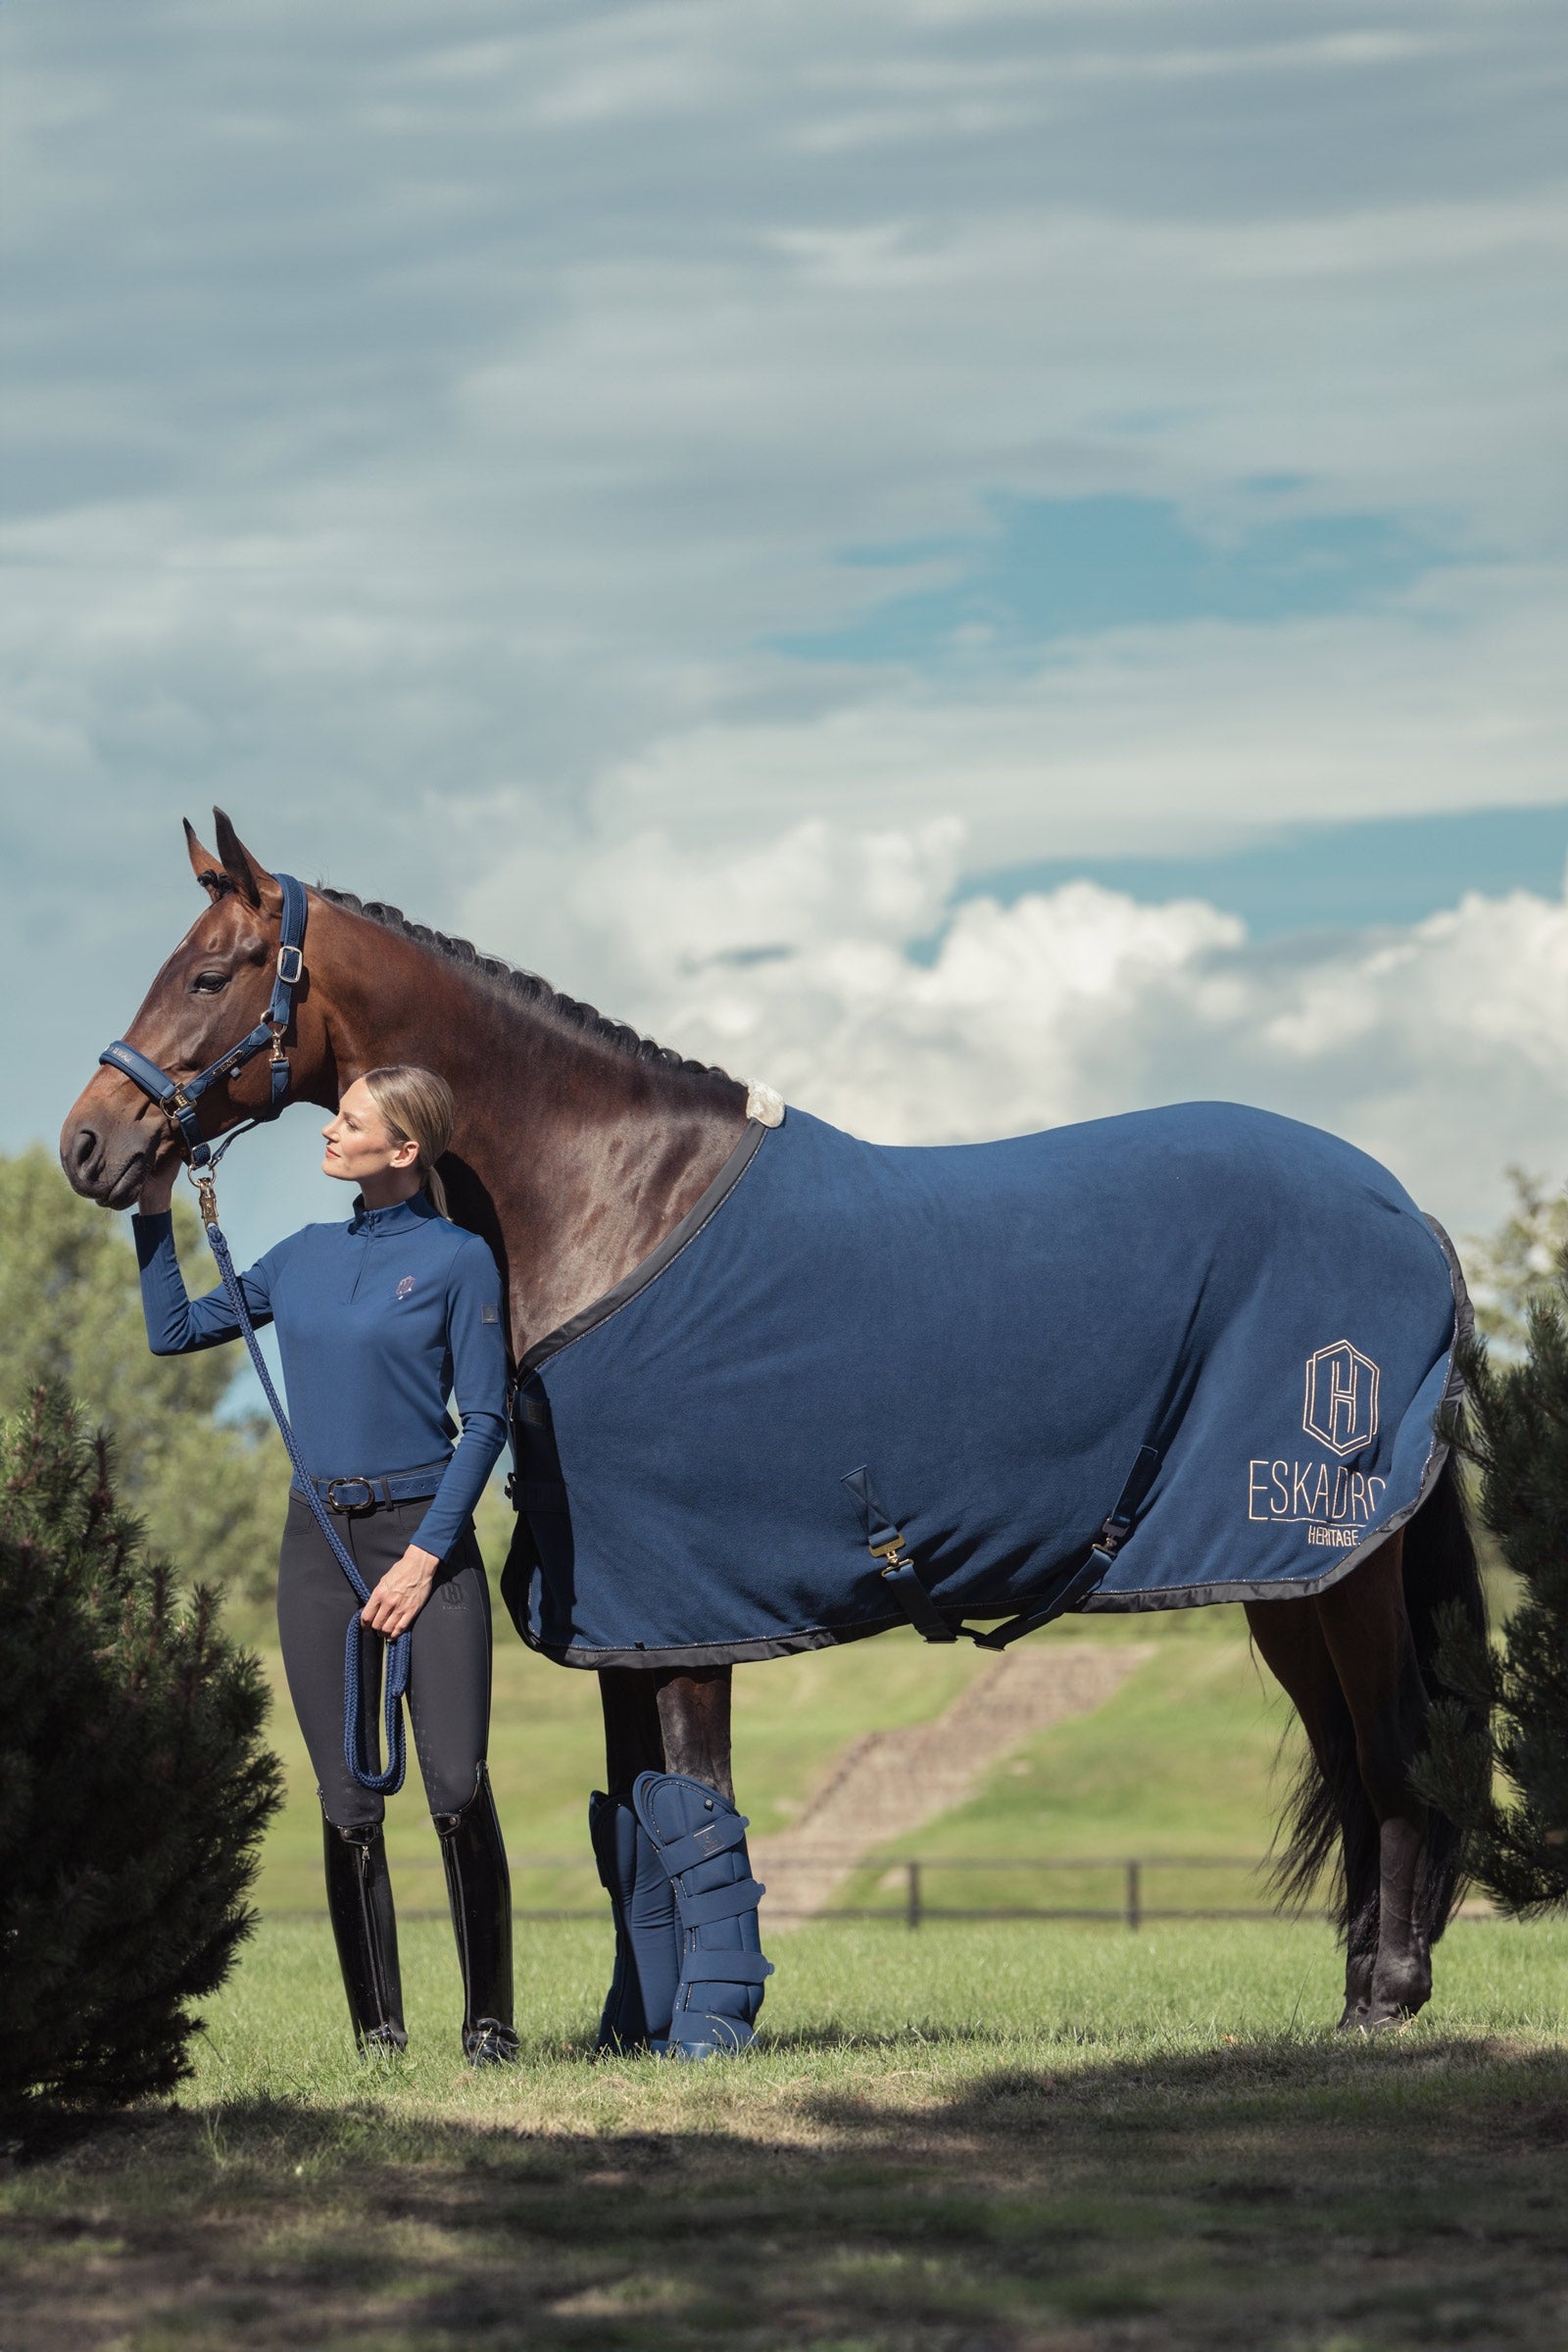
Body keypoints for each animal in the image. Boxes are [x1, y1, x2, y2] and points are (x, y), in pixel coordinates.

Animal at [61, 809, 1486, 2036]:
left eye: (210, 974)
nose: (89, 1145)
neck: (615, 1198)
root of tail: (1405, 1209)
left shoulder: (694, 1607)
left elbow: (703, 1810)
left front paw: (705, 2032)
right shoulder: (626, 1613)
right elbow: (635, 1820)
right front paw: (628, 2033)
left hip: (1333, 1557)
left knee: (1390, 1750)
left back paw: (1386, 1997)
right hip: (1285, 1578)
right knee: (1348, 1759)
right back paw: (1356, 1989)